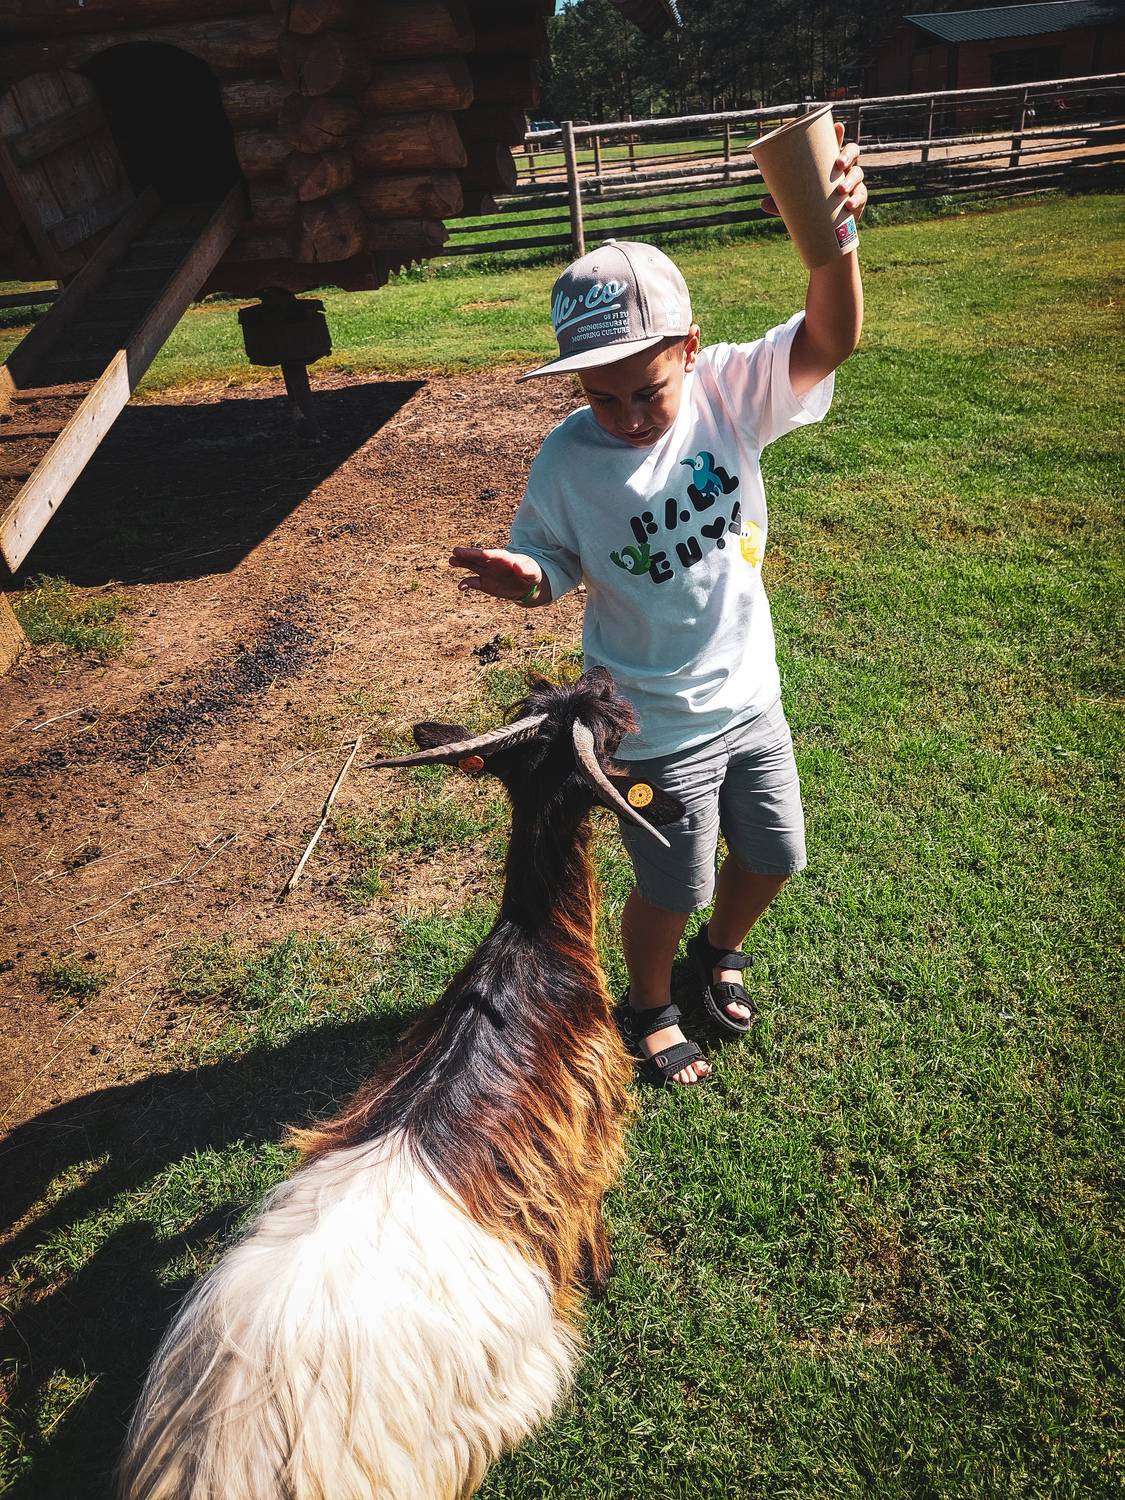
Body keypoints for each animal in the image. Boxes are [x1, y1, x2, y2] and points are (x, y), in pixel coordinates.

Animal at [119, 666, 685, 1500]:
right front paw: (605, 1274)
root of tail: (225, 1456)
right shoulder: (592, 1120)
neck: (532, 944)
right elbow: (594, 1213)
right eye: (609, 728)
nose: (601, 676)